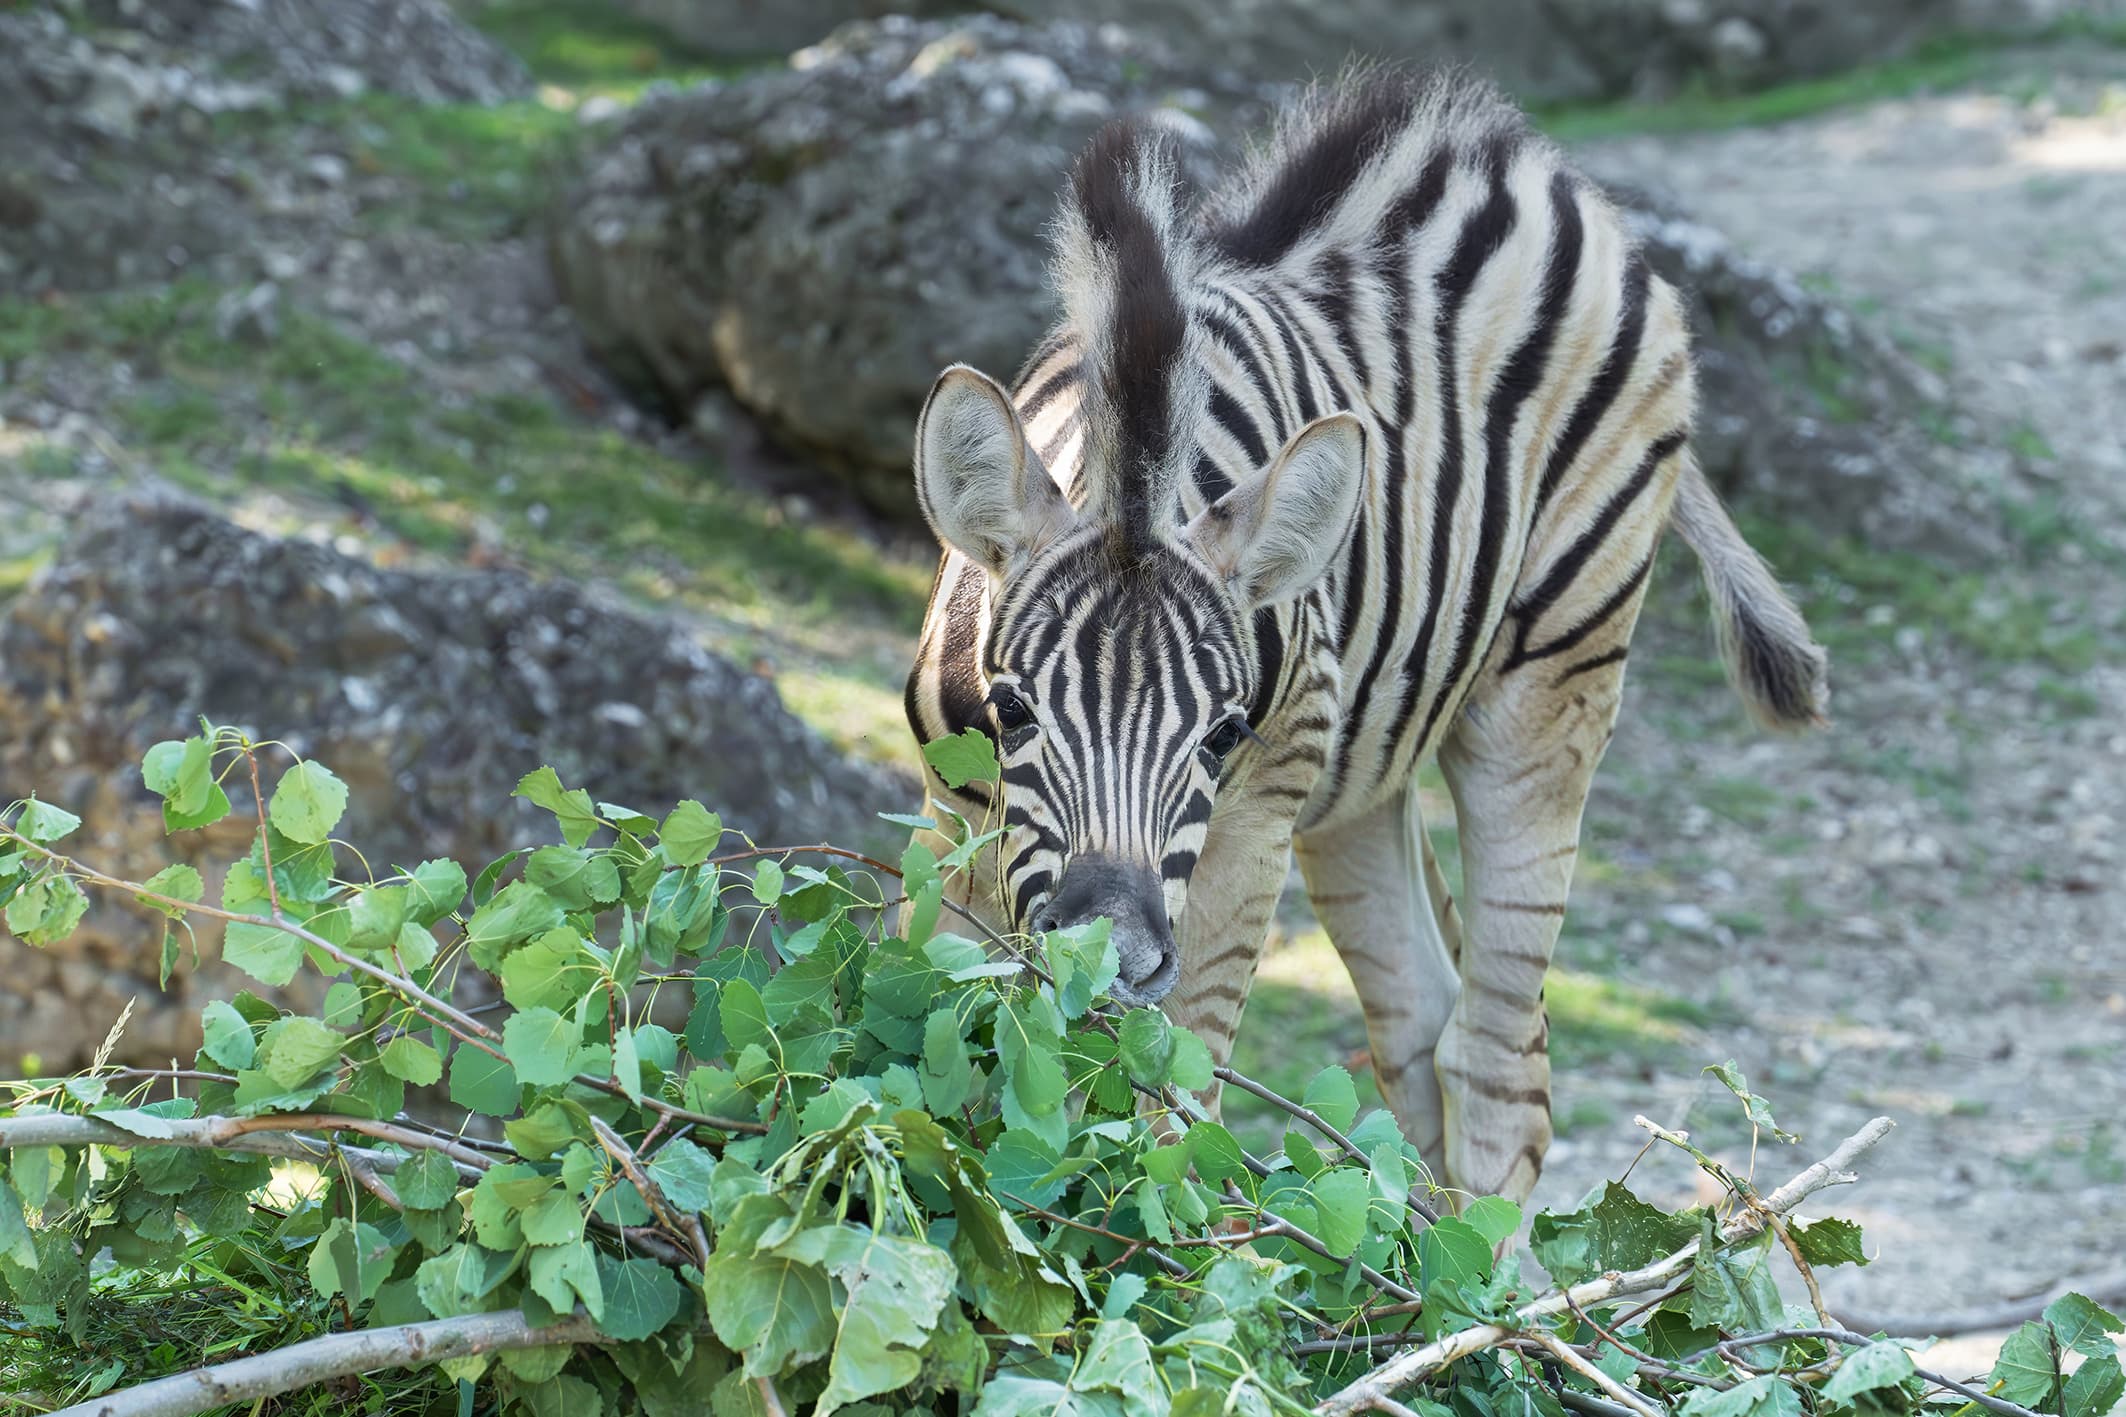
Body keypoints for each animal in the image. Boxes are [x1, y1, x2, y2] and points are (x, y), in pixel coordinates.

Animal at [902, 69, 1827, 1203]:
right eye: (1012, 708)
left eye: (1220, 735)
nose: (1111, 958)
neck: (1140, 426)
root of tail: (1530, 172)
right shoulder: (949, 811)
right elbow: (931, 1017)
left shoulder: (1246, 827)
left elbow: (1174, 1115)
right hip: (1358, 767)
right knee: (1419, 1023)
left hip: (1546, 687)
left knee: (1497, 1063)